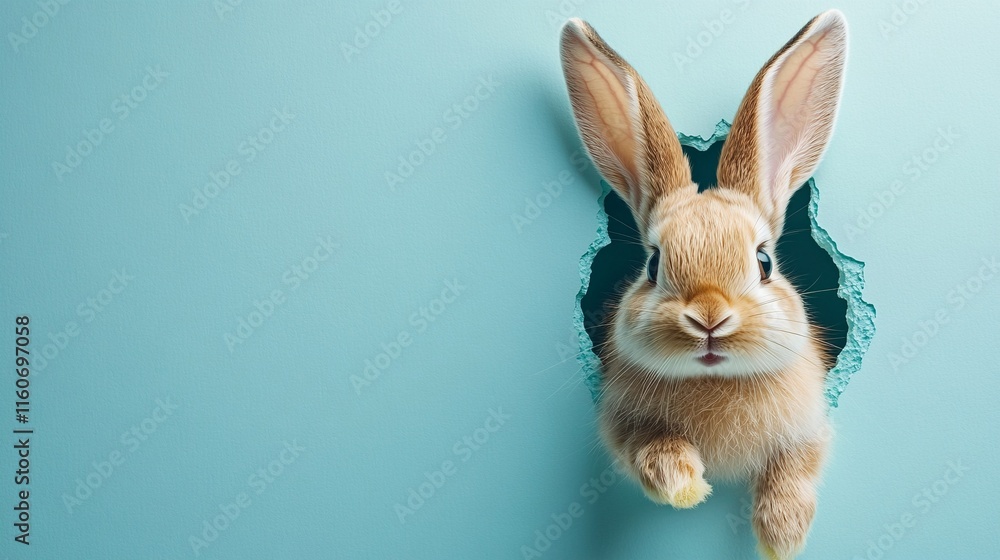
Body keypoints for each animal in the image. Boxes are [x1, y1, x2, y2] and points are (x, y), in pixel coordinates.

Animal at [559, 9, 847, 560]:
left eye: (764, 262)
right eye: (652, 265)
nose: (709, 318)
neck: (716, 380)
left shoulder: (808, 430)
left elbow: (793, 473)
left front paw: (781, 538)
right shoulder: (623, 425)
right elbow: (650, 451)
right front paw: (688, 487)